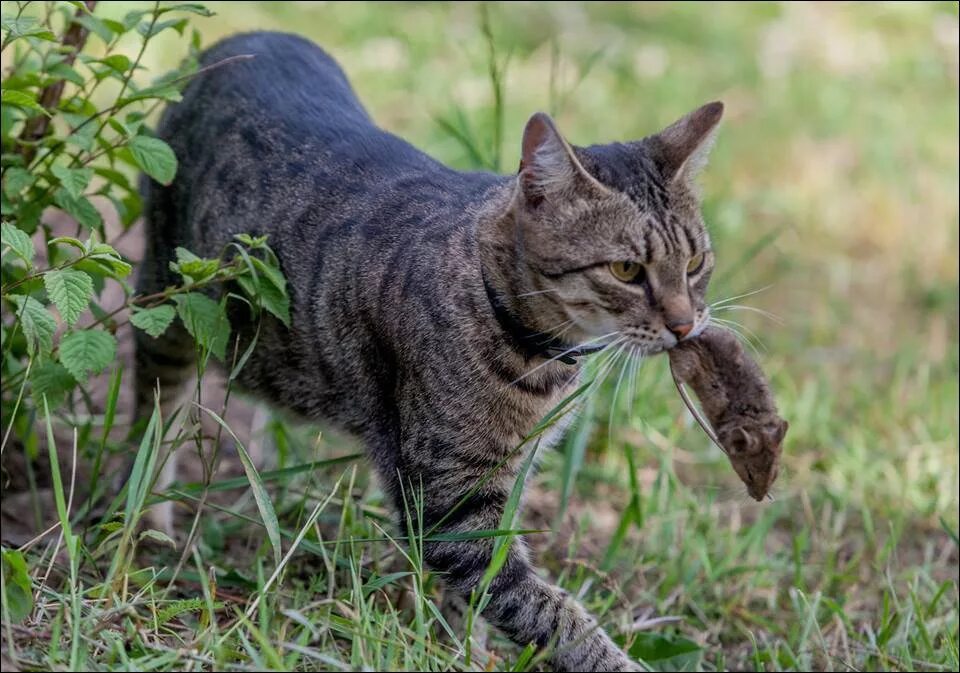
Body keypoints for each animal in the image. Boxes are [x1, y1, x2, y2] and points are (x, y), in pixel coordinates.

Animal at [133, 30, 720, 668]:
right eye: (626, 270)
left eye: (694, 262)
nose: (686, 325)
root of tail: (246, 35)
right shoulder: (447, 502)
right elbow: (547, 610)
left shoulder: (508, 474)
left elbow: (485, 596)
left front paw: (466, 646)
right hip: (165, 301)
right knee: (154, 409)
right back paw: (145, 517)